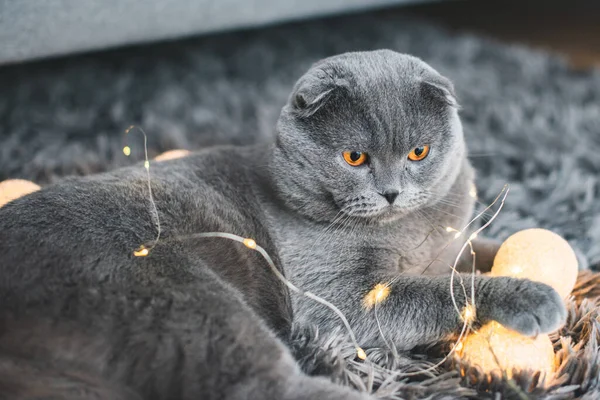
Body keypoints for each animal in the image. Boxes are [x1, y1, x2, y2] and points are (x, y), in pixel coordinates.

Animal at [0, 50, 564, 400]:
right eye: (355, 157)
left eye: (419, 153)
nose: (391, 192)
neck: (409, 229)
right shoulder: (340, 300)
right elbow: (442, 290)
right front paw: (533, 295)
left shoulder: (453, 242)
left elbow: (480, 251)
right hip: (181, 299)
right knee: (260, 383)